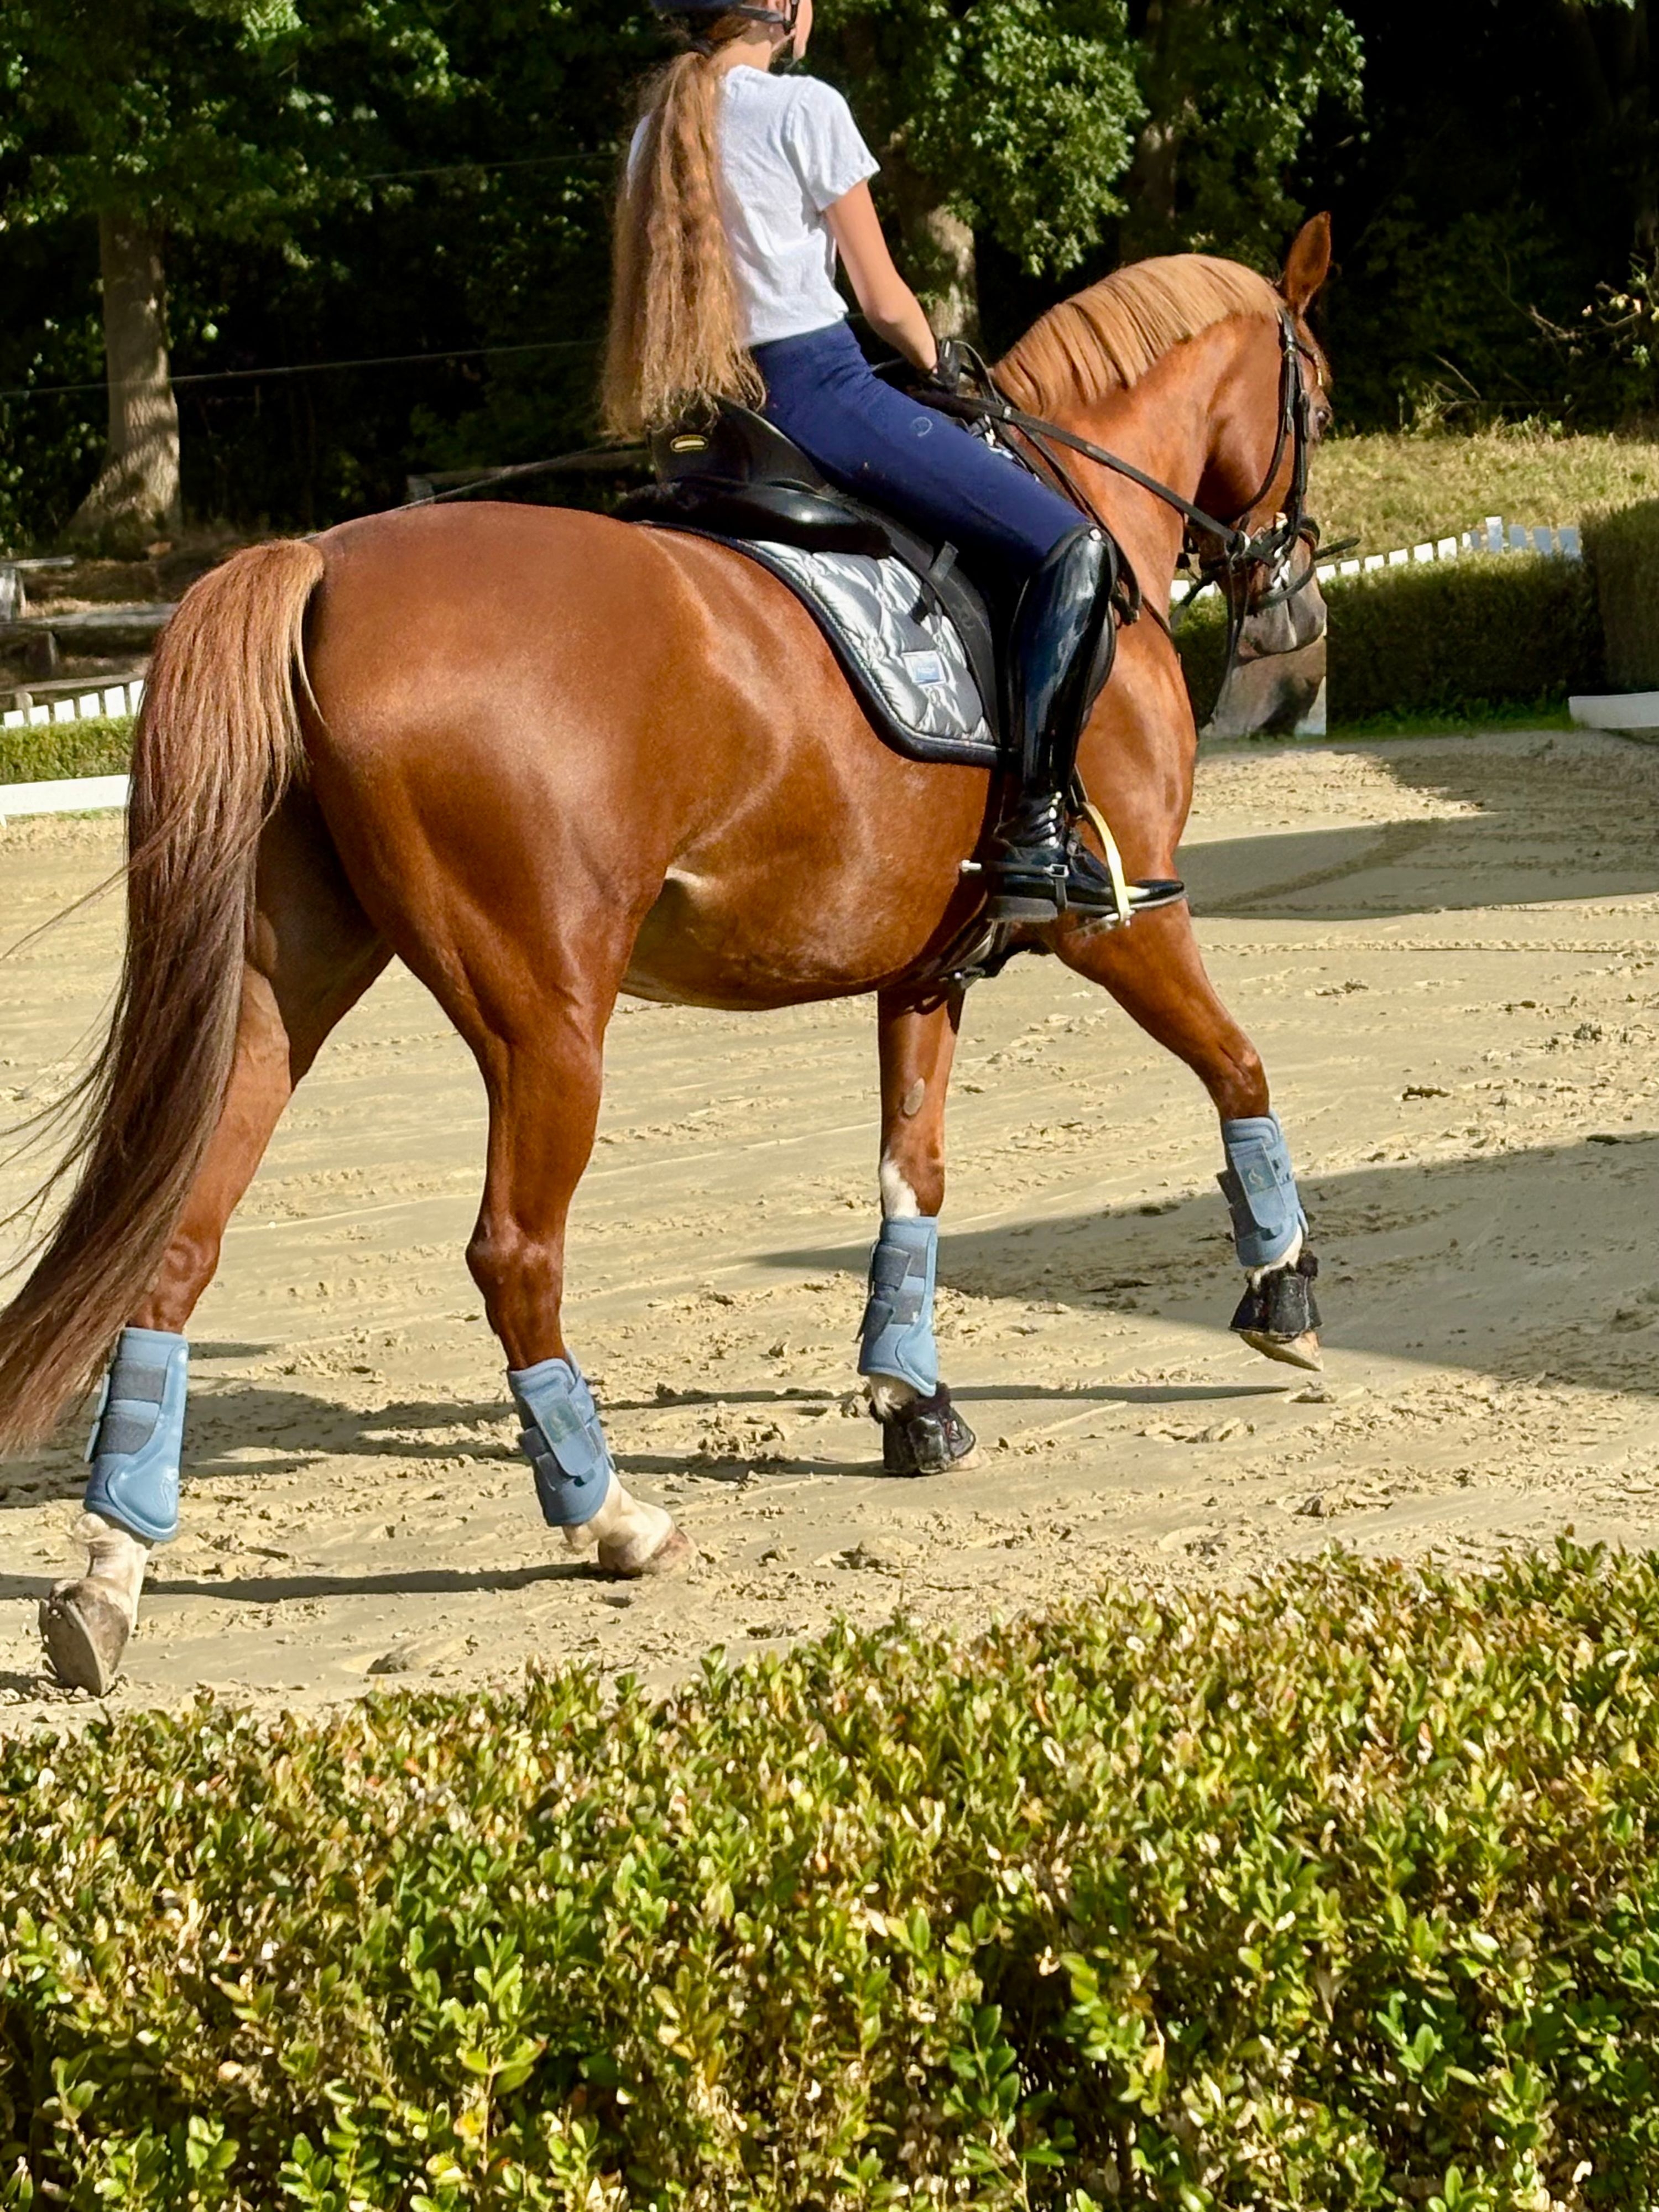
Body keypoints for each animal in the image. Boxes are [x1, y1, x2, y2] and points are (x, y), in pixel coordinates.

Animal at [0, 216, 1335, 1695]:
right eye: (1320, 401)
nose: (1287, 604)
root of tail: (329, 564)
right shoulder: (1129, 918)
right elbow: (1239, 1066)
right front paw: (1280, 1288)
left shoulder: (924, 969)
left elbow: (911, 1170)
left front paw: (910, 1398)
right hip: (544, 1019)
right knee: (514, 1254)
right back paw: (611, 1518)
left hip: (279, 990)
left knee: (182, 1236)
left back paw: (110, 1572)